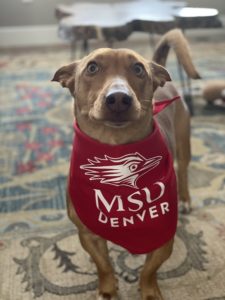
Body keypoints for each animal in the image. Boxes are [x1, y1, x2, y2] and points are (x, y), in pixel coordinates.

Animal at [52, 29, 199, 300]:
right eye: (92, 67)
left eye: (138, 68)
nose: (119, 98)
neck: (116, 145)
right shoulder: (88, 235)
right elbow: (103, 265)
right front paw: (108, 290)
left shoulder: (164, 238)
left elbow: (149, 270)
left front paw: (149, 292)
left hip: (184, 144)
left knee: (183, 171)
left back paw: (185, 199)